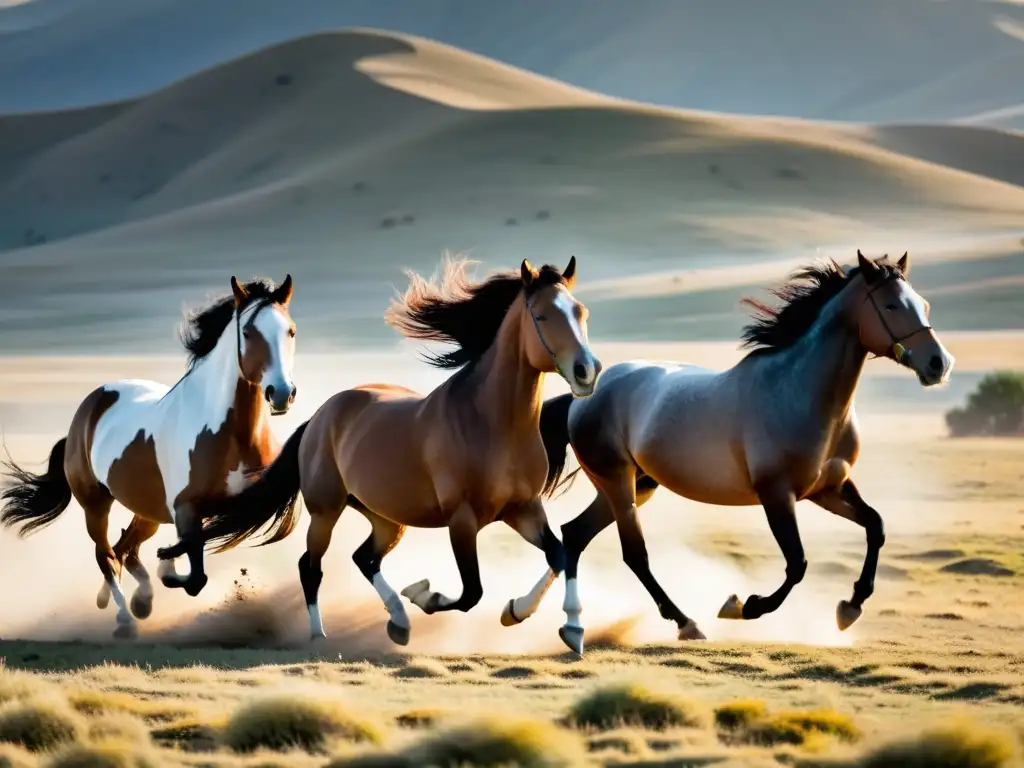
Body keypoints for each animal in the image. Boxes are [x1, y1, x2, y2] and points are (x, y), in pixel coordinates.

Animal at [0, 274, 299, 638]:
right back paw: (125, 618)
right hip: (95, 505)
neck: (230, 432)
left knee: (123, 550)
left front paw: (162, 568)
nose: (281, 393)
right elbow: (195, 577)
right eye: (249, 332)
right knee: (106, 555)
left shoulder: (252, 502)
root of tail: (89, 406)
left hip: (148, 512)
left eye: (290, 331)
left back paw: (129, 601)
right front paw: (166, 568)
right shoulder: (186, 508)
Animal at [183, 256, 598, 647]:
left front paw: (530, 617)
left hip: (386, 518)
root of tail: (322, 415)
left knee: (364, 558)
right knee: (311, 566)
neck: (492, 425)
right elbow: (470, 593)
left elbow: (559, 555)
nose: (586, 370)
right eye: (542, 315)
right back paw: (320, 636)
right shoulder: (463, 520)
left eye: (581, 312)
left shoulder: (523, 509)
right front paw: (424, 595)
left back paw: (398, 622)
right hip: (326, 511)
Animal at [516, 250, 954, 655]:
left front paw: (850, 607)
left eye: (924, 304)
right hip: (617, 482)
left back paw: (529, 613)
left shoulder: (829, 489)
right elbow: (797, 564)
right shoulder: (777, 495)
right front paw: (743, 605)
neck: (800, 393)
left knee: (573, 536)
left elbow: (875, 526)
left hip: (637, 485)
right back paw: (684, 624)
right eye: (891, 305)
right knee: (632, 555)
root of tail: (584, 395)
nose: (940, 364)